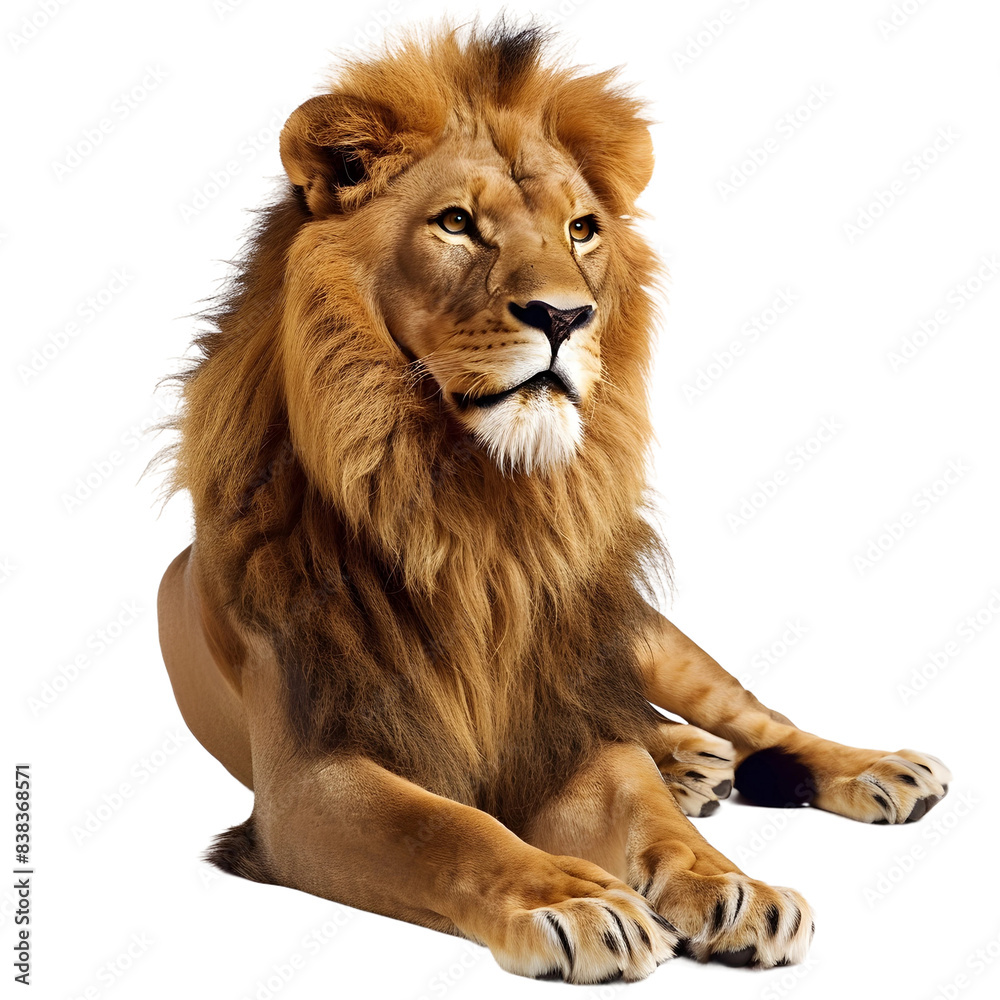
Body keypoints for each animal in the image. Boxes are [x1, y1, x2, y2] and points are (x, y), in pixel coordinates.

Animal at [156, 22, 951, 983]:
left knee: (752, 716)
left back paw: (867, 768)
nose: (565, 317)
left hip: (645, 636)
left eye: (582, 229)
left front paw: (734, 886)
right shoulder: (311, 776)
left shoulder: (565, 725)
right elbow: (452, 828)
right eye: (457, 223)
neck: (476, 512)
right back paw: (694, 763)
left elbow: (650, 817)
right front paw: (572, 901)